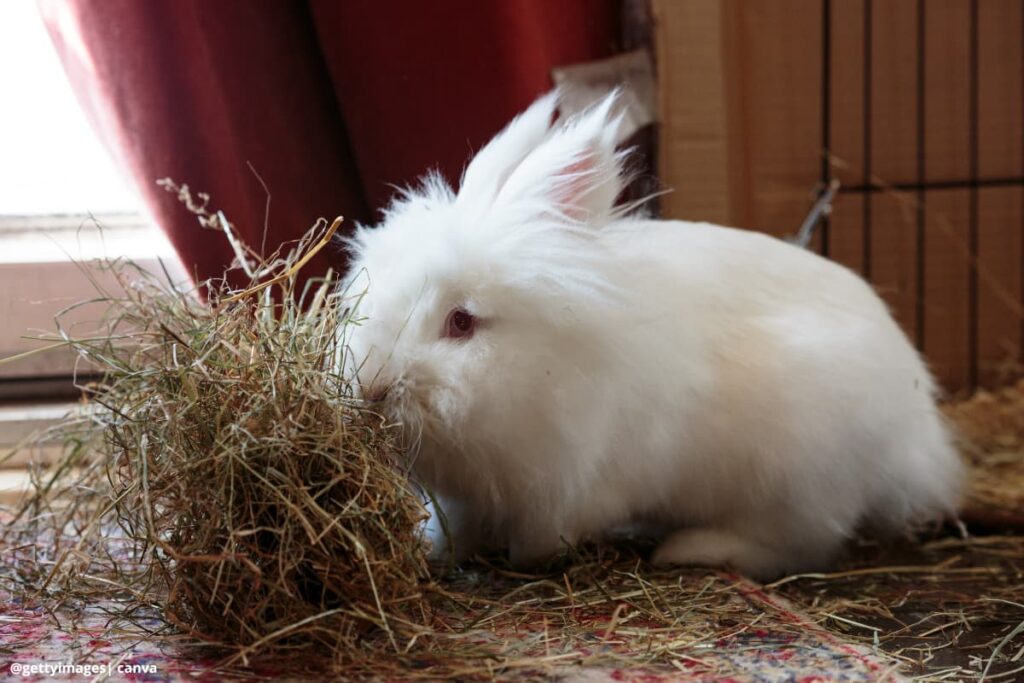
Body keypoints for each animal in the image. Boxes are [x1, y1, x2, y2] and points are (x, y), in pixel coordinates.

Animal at [337, 90, 964, 579]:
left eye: (461, 322)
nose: (371, 389)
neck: (543, 364)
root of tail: (917, 434)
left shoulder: (570, 484)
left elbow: (539, 541)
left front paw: (521, 558)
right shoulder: (463, 495)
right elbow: (457, 530)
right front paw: (435, 551)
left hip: (795, 477)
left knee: (798, 544)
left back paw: (688, 549)